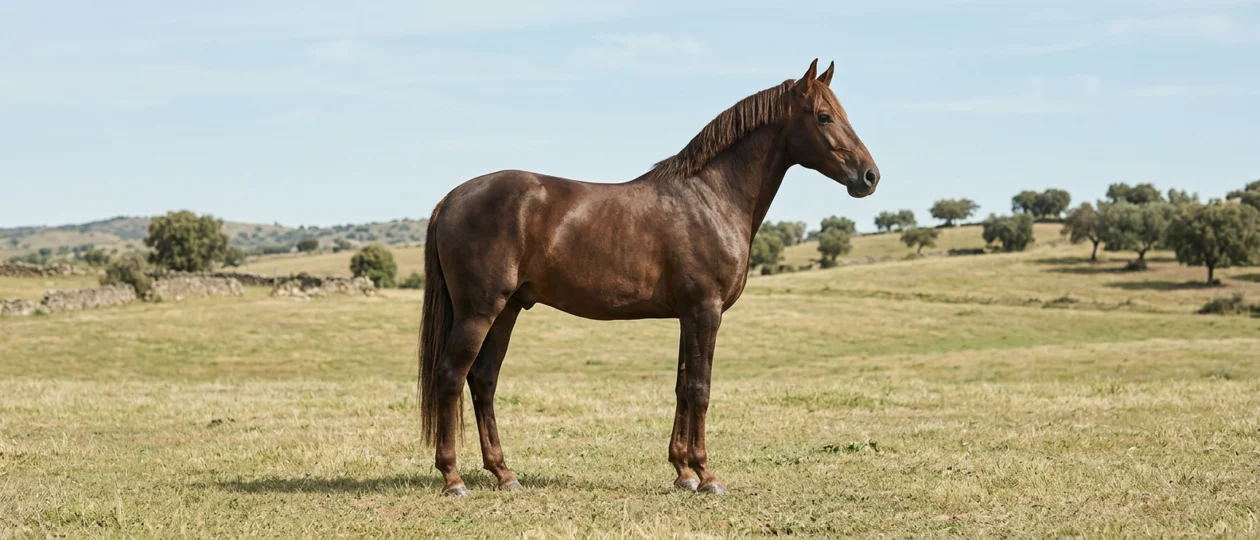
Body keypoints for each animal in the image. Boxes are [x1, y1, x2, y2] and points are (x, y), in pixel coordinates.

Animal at [419, 59, 880, 496]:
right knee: (450, 377)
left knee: (483, 381)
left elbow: (682, 387)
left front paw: (683, 473)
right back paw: (453, 479)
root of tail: (451, 198)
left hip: (508, 309)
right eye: (824, 116)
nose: (870, 176)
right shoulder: (706, 311)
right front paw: (707, 475)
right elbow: (700, 388)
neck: (712, 198)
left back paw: (504, 474)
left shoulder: (688, 315)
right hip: (479, 312)